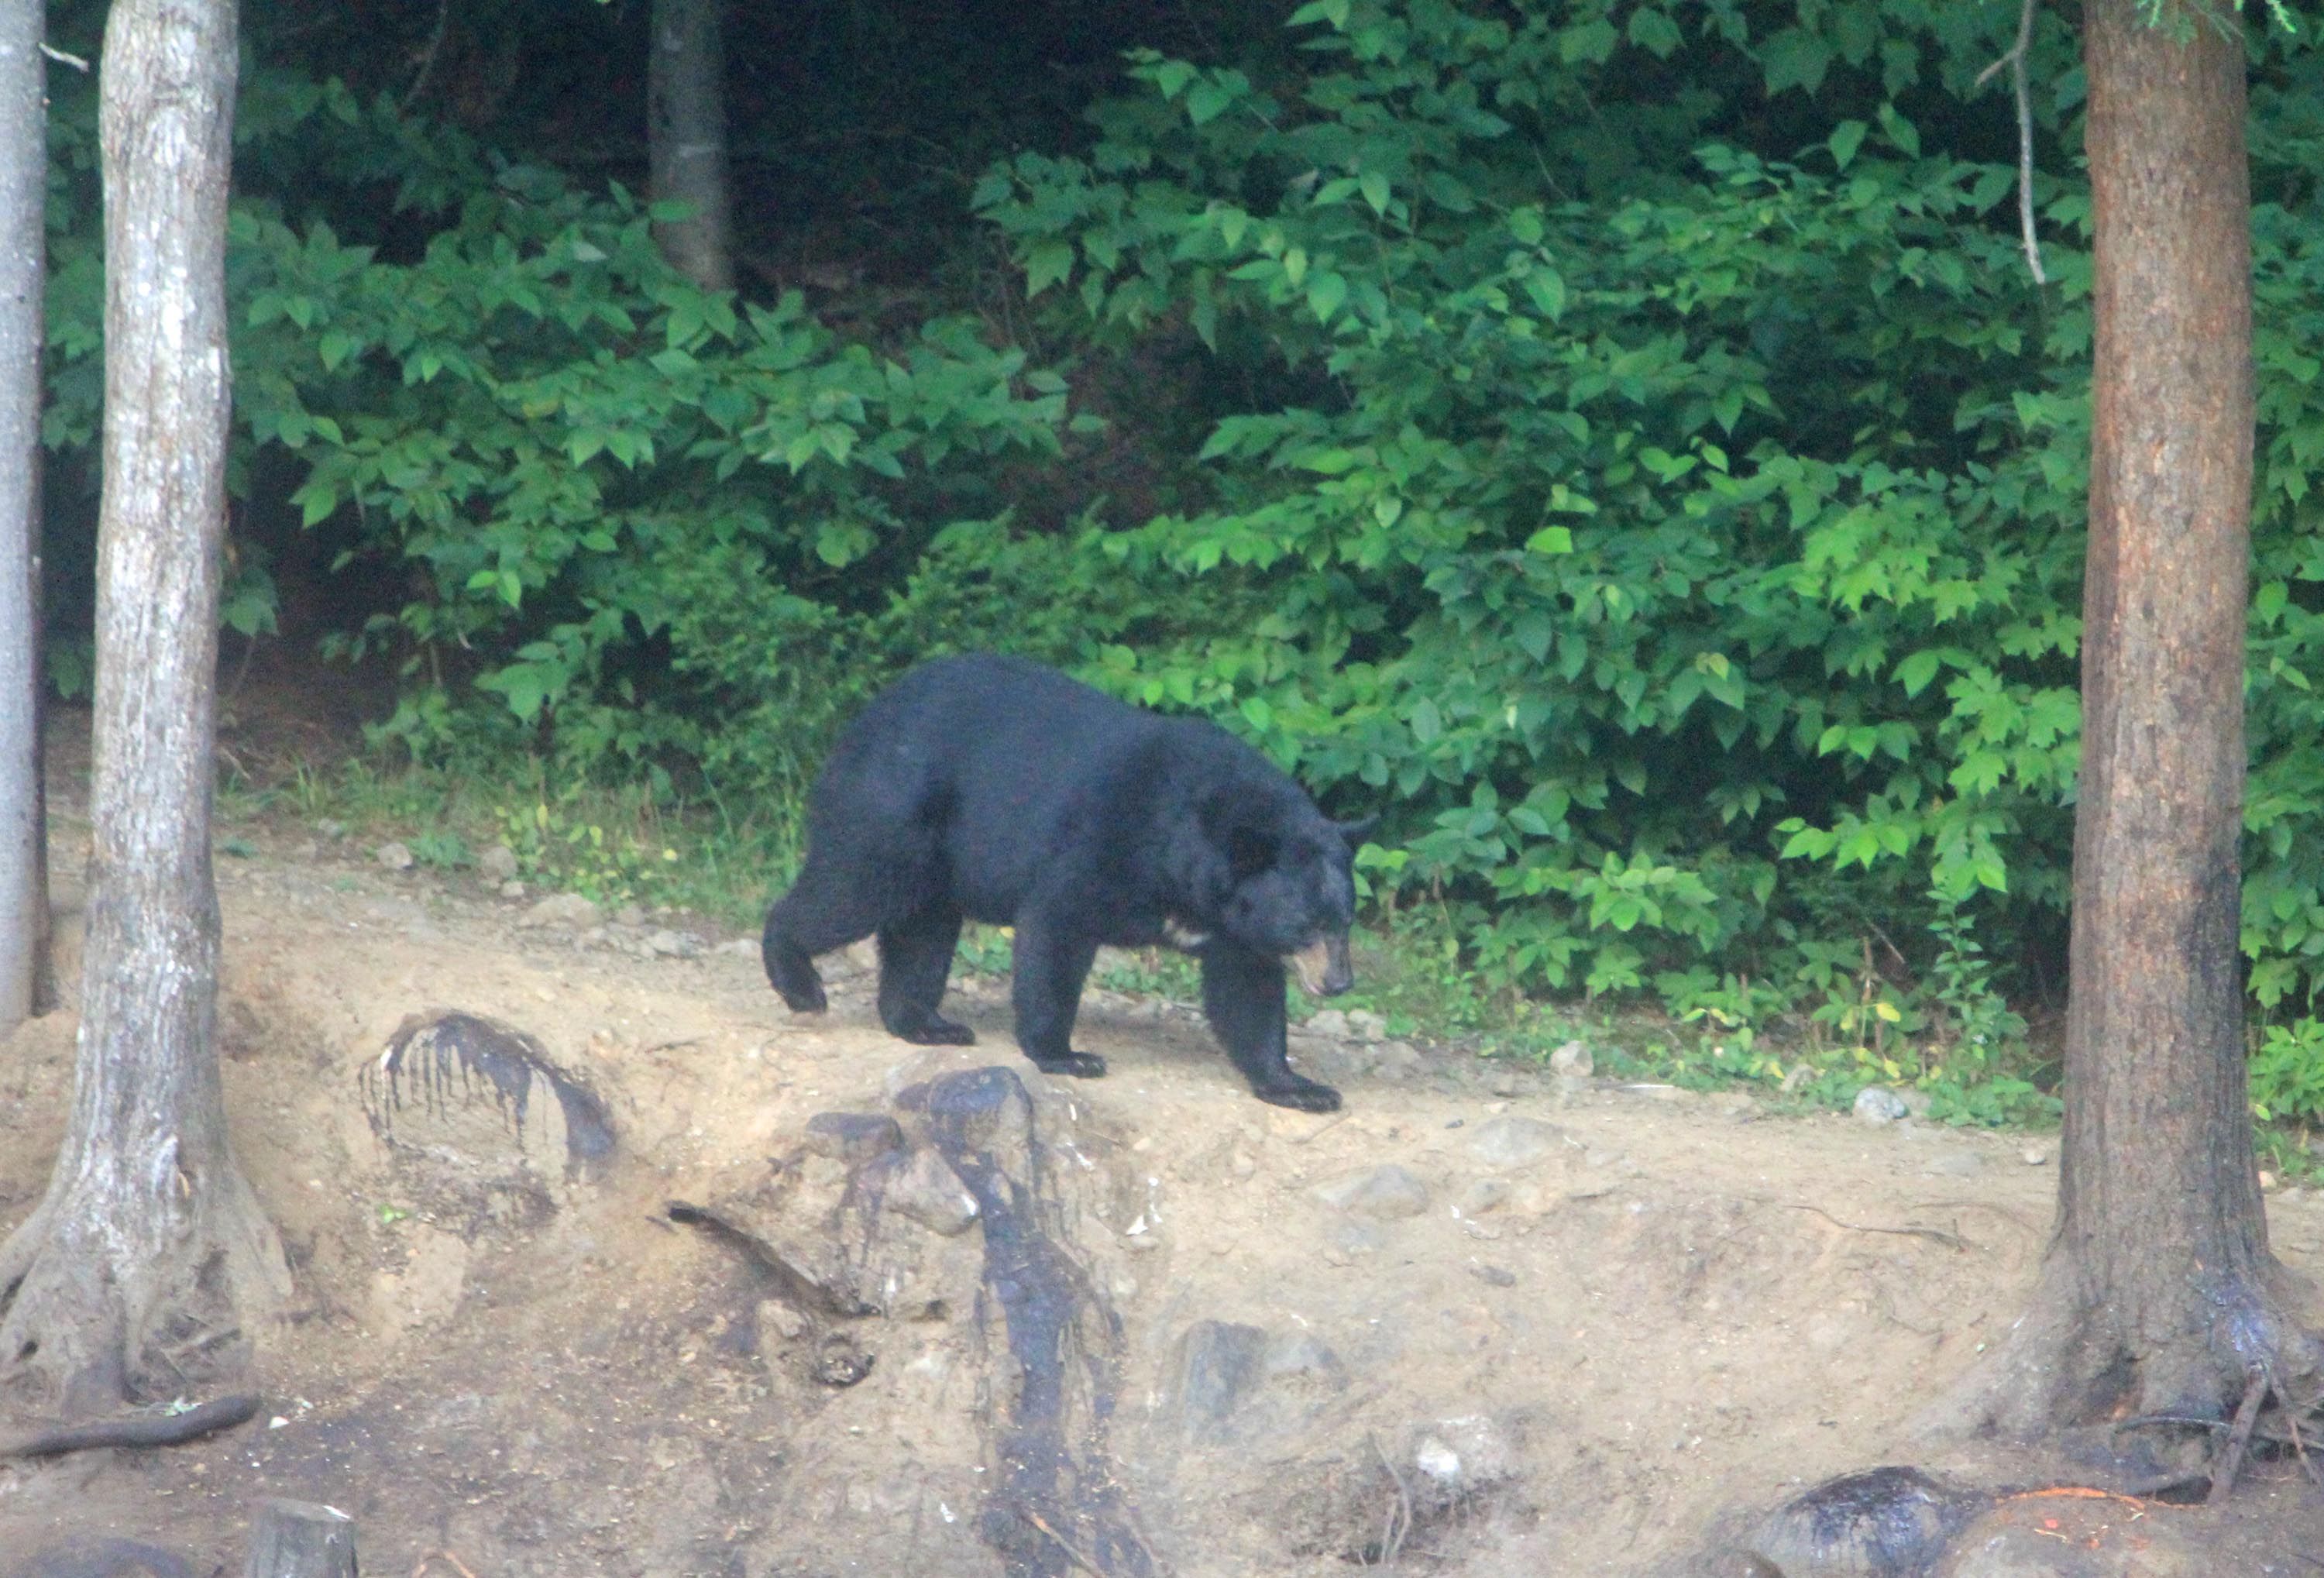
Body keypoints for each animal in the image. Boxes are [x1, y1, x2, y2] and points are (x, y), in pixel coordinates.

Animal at [762, 655, 1376, 1111]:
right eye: (1305, 925)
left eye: (1344, 921)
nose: (1339, 982)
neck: (1189, 848)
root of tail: (866, 716)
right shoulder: (1107, 843)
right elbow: (1056, 929)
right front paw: (1067, 1054)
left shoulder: (1231, 919)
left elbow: (1248, 993)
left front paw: (1299, 1086)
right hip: (893, 809)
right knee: (852, 888)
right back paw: (800, 981)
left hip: (933, 858)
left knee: (923, 931)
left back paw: (928, 1023)